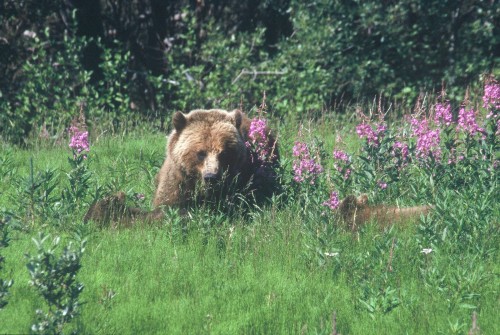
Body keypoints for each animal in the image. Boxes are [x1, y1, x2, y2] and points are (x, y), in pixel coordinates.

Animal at [86, 110, 282, 226]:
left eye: (224, 152)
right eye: (201, 153)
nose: (211, 177)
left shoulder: (245, 178)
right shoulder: (177, 179)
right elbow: (166, 206)